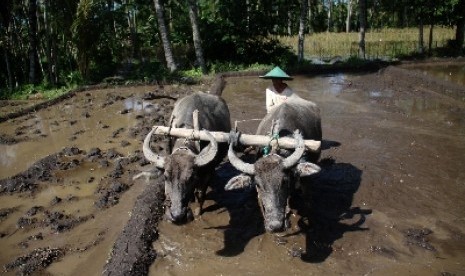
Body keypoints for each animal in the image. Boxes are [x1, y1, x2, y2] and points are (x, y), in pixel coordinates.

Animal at [140, 91, 229, 223]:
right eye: (166, 177)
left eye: (191, 178)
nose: (177, 216)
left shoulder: (206, 173)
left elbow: (201, 194)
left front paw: (198, 212)